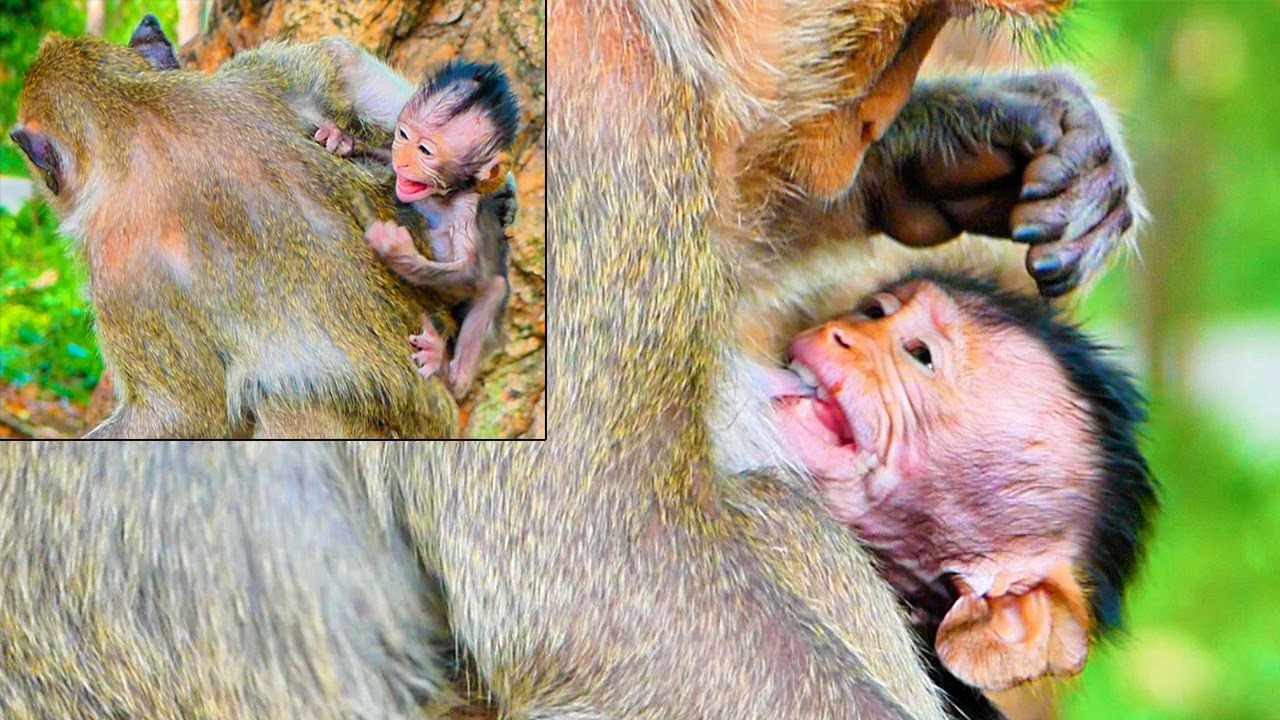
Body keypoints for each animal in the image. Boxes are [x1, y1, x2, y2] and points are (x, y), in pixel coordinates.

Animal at [314, 60, 520, 398]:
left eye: (424, 150)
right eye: (403, 135)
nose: (404, 161)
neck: (442, 197)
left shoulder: (467, 211)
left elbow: (471, 274)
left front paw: (396, 250)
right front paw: (341, 139)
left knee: (493, 289)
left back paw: (449, 374)